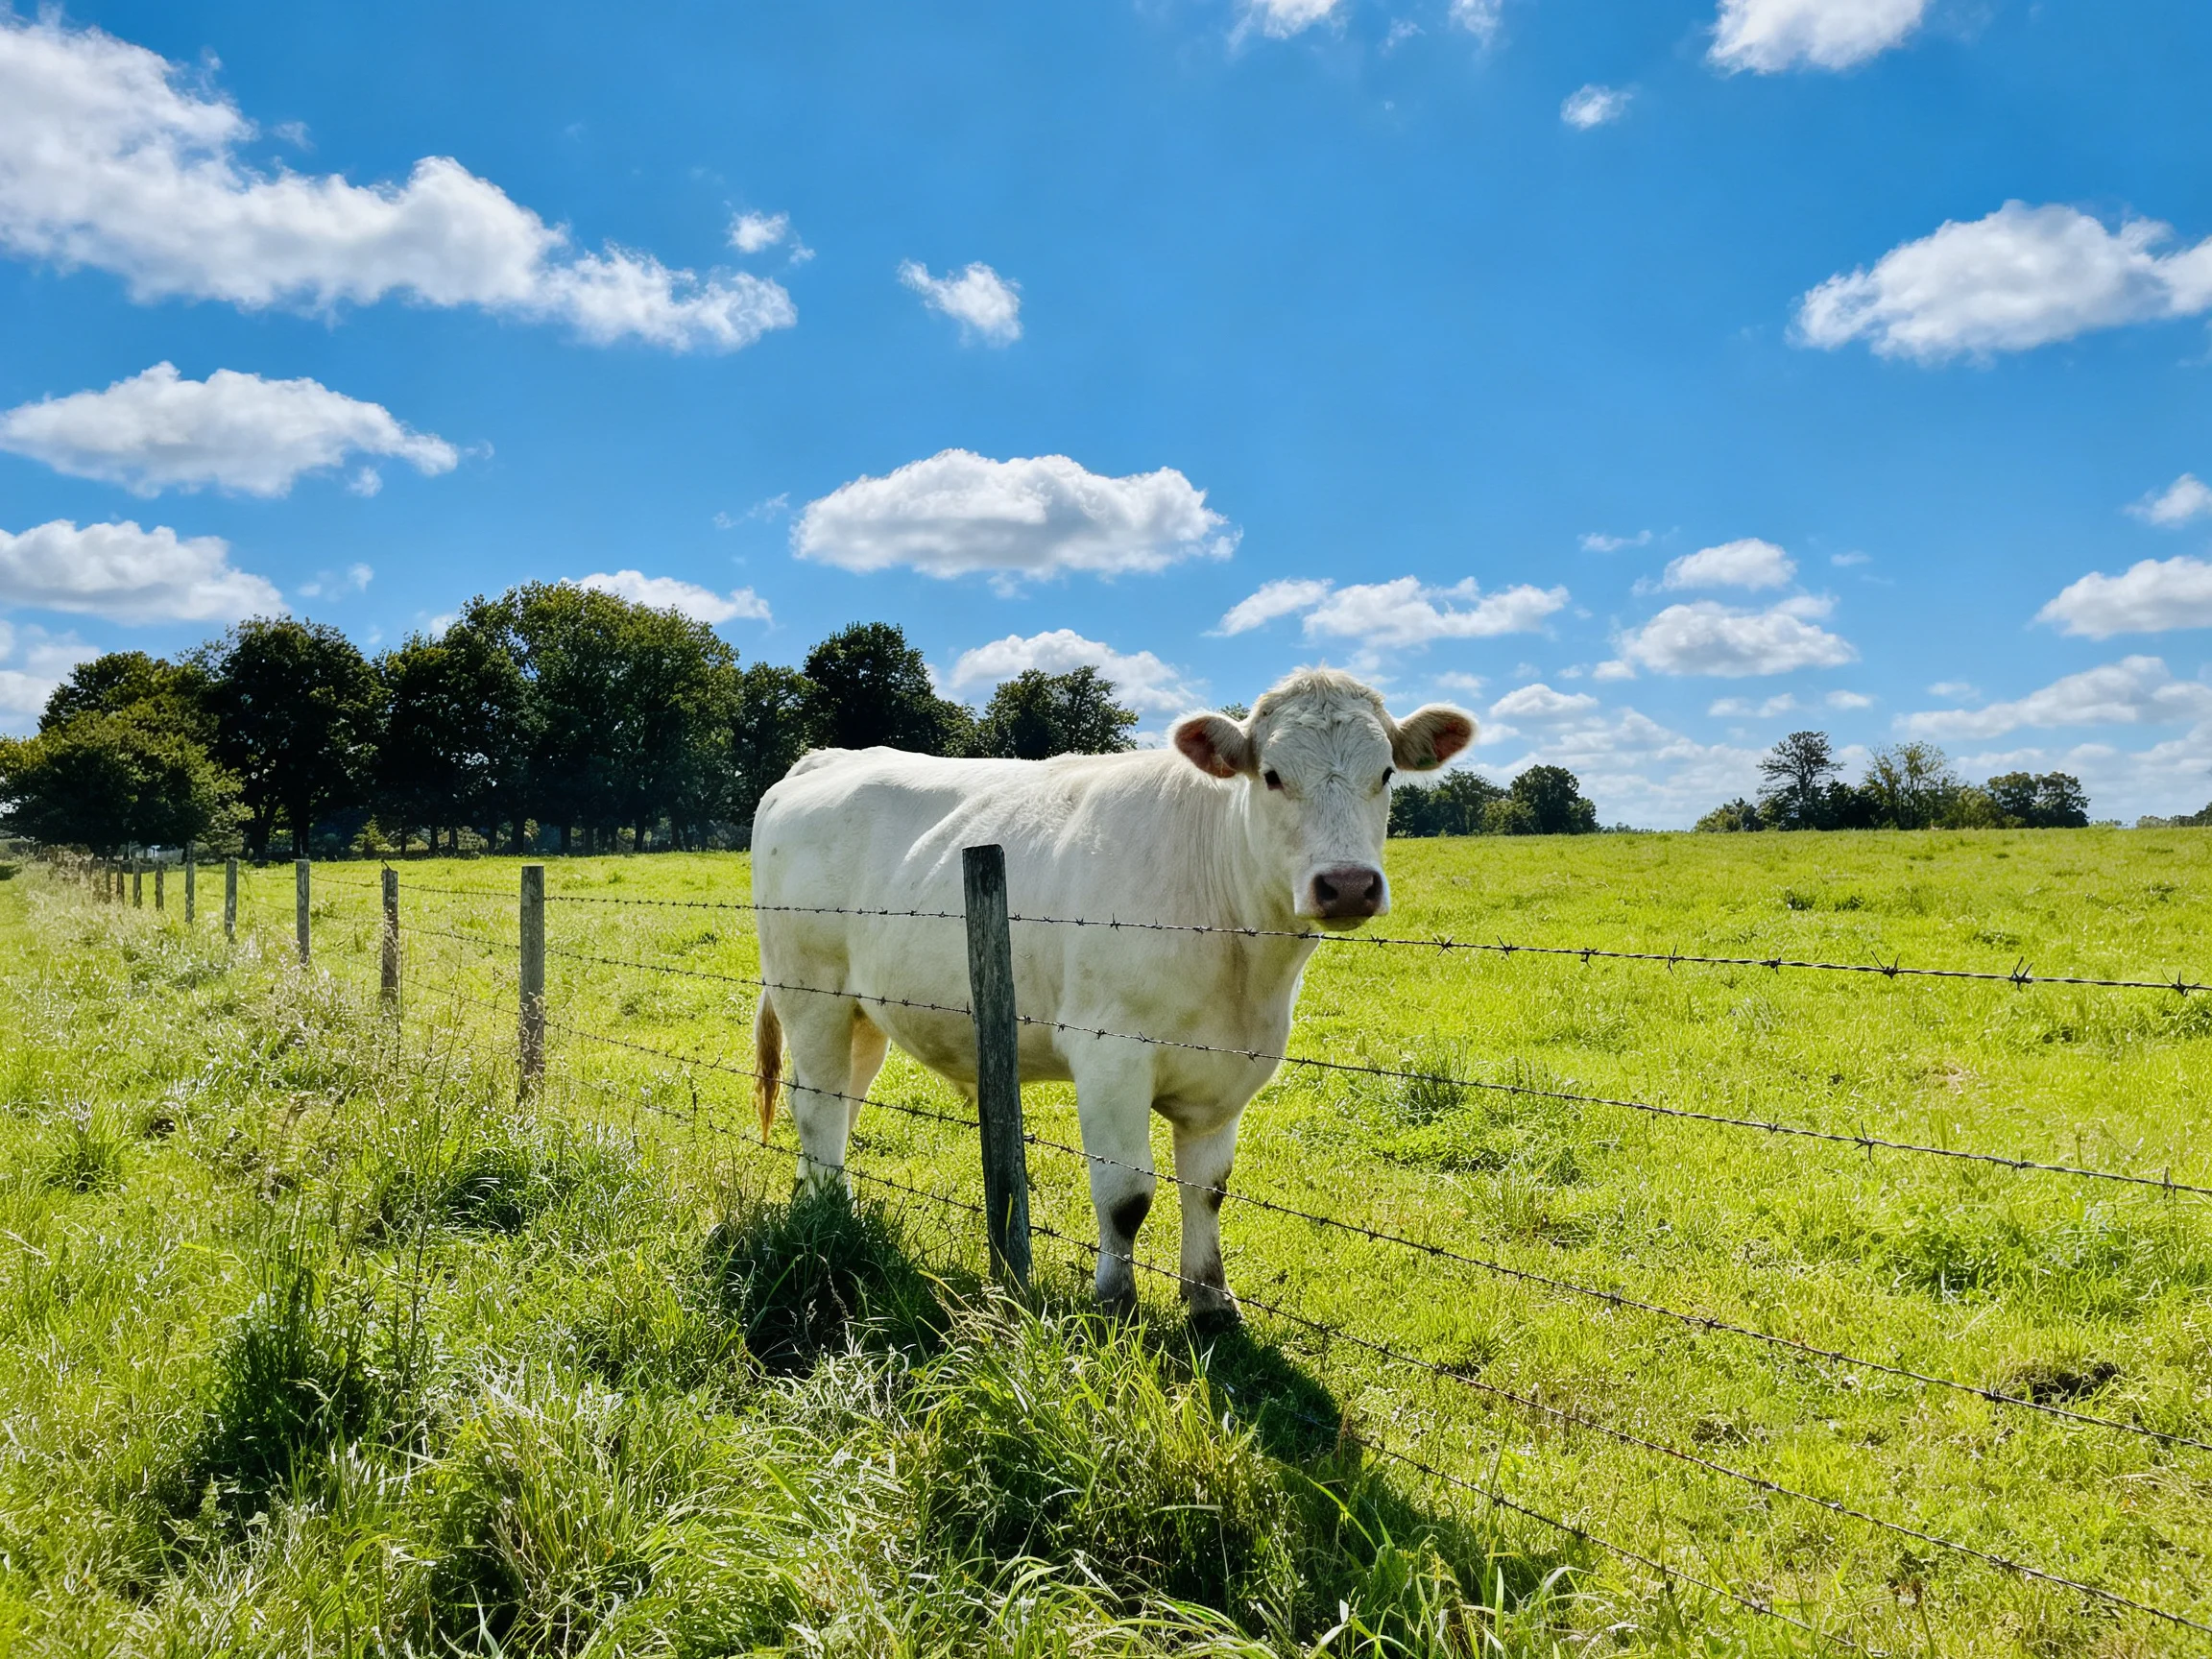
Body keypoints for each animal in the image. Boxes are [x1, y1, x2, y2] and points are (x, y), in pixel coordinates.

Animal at [749, 667, 1474, 1324]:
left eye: (1386, 774)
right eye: (1271, 775)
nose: (1348, 884)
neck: (1243, 972)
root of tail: (829, 757)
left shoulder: (1228, 1071)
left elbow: (1208, 1189)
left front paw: (1212, 1302)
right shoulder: (1110, 1055)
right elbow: (1127, 1192)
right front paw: (1115, 1302)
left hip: (863, 1012)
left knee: (841, 1103)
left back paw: (815, 1201)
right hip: (808, 989)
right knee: (816, 1105)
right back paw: (831, 1217)